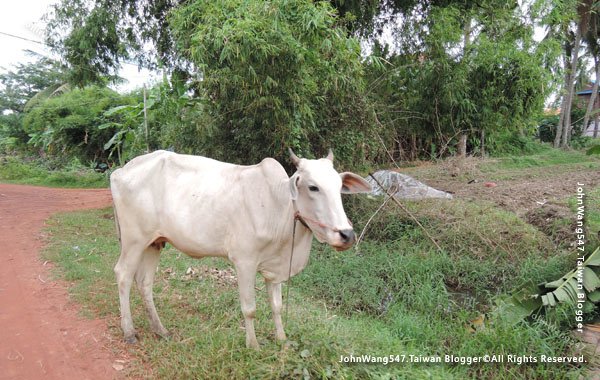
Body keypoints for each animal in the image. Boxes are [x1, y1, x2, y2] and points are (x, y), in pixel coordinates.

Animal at [109, 149, 368, 350]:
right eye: (313, 187)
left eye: (339, 187)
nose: (346, 235)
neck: (278, 207)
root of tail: (120, 171)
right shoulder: (245, 262)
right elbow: (249, 308)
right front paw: (252, 345)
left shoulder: (275, 268)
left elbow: (276, 306)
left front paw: (282, 340)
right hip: (134, 240)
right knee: (123, 275)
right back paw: (129, 331)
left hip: (154, 242)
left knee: (144, 282)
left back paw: (160, 330)